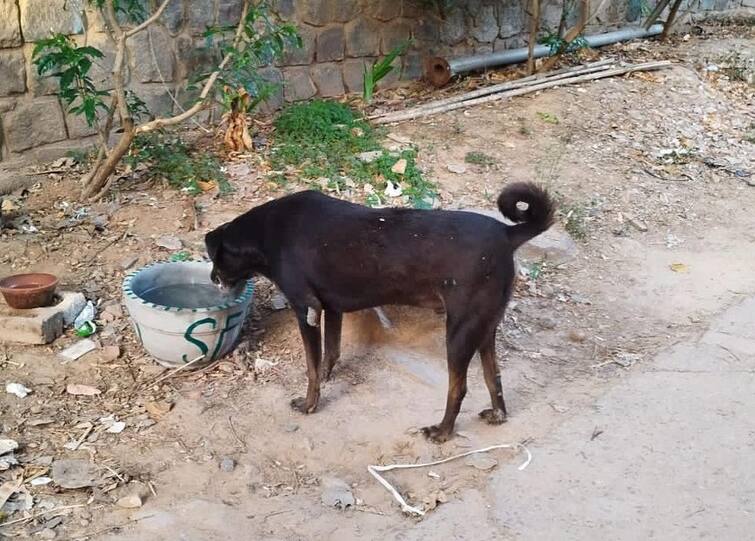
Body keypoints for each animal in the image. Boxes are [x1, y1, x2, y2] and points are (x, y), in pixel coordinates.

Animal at [207, 181, 556, 438]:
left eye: (215, 259)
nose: (211, 279)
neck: (267, 233)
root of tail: (507, 234)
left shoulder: (306, 309)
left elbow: (310, 366)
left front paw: (309, 404)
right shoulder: (331, 308)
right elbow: (330, 353)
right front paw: (327, 378)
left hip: (460, 331)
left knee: (459, 388)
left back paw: (442, 431)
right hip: (484, 326)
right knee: (492, 375)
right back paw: (498, 414)